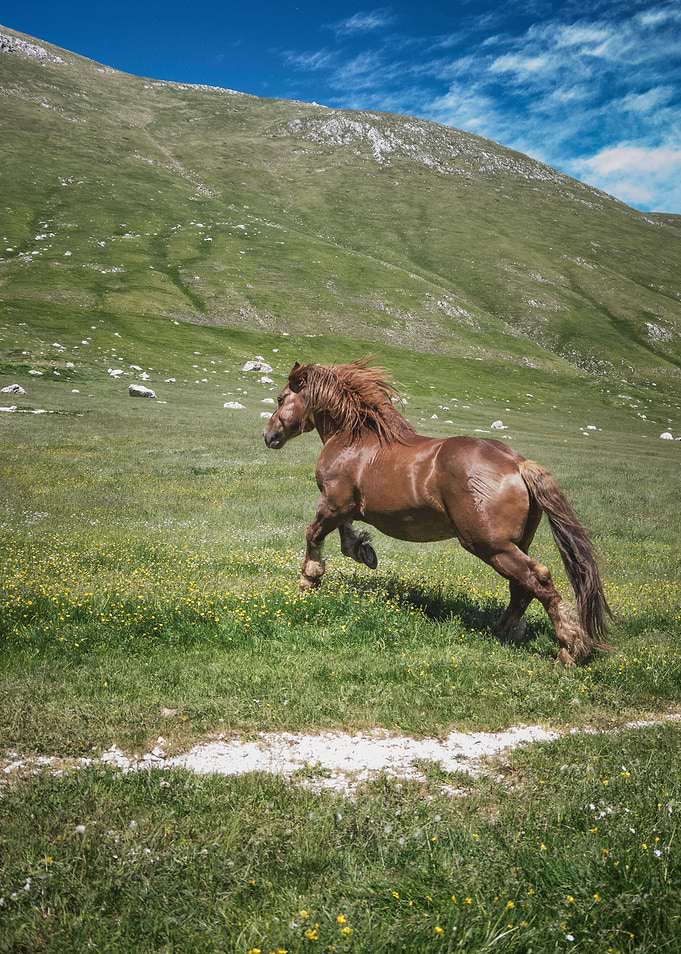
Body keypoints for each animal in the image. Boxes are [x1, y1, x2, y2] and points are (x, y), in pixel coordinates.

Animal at [263, 360, 610, 665]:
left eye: (280, 398)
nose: (269, 436)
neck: (354, 437)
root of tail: (518, 464)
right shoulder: (344, 506)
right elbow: (345, 536)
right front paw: (365, 552)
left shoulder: (333, 502)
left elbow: (314, 533)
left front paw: (309, 579)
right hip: (515, 544)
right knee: (521, 589)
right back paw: (500, 632)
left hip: (489, 545)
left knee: (537, 579)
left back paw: (569, 650)